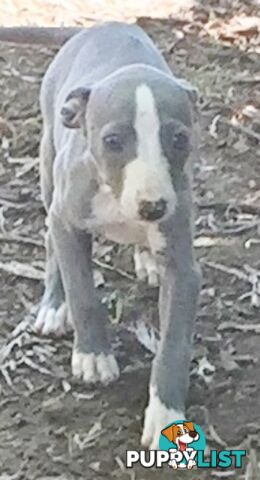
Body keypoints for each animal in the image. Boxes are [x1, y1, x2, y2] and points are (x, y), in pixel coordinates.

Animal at [32, 22, 201, 450]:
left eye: (179, 138)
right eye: (112, 142)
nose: (153, 207)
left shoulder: (184, 270)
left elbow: (174, 344)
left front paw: (166, 414)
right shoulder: (68, 219)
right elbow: (83, 293)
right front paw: (93, 356)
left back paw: (146, 259)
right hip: (48, 166)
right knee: (52, 245)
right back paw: (53, 306)